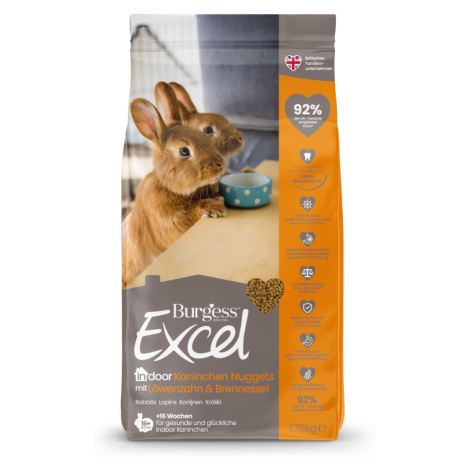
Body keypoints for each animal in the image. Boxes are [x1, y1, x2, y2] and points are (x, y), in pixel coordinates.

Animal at [122, 82, 227, 288]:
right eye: (184, 151)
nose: (221, 164)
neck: (166, 184)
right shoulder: (166, 219)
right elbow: (184, 221)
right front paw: (214, 207)